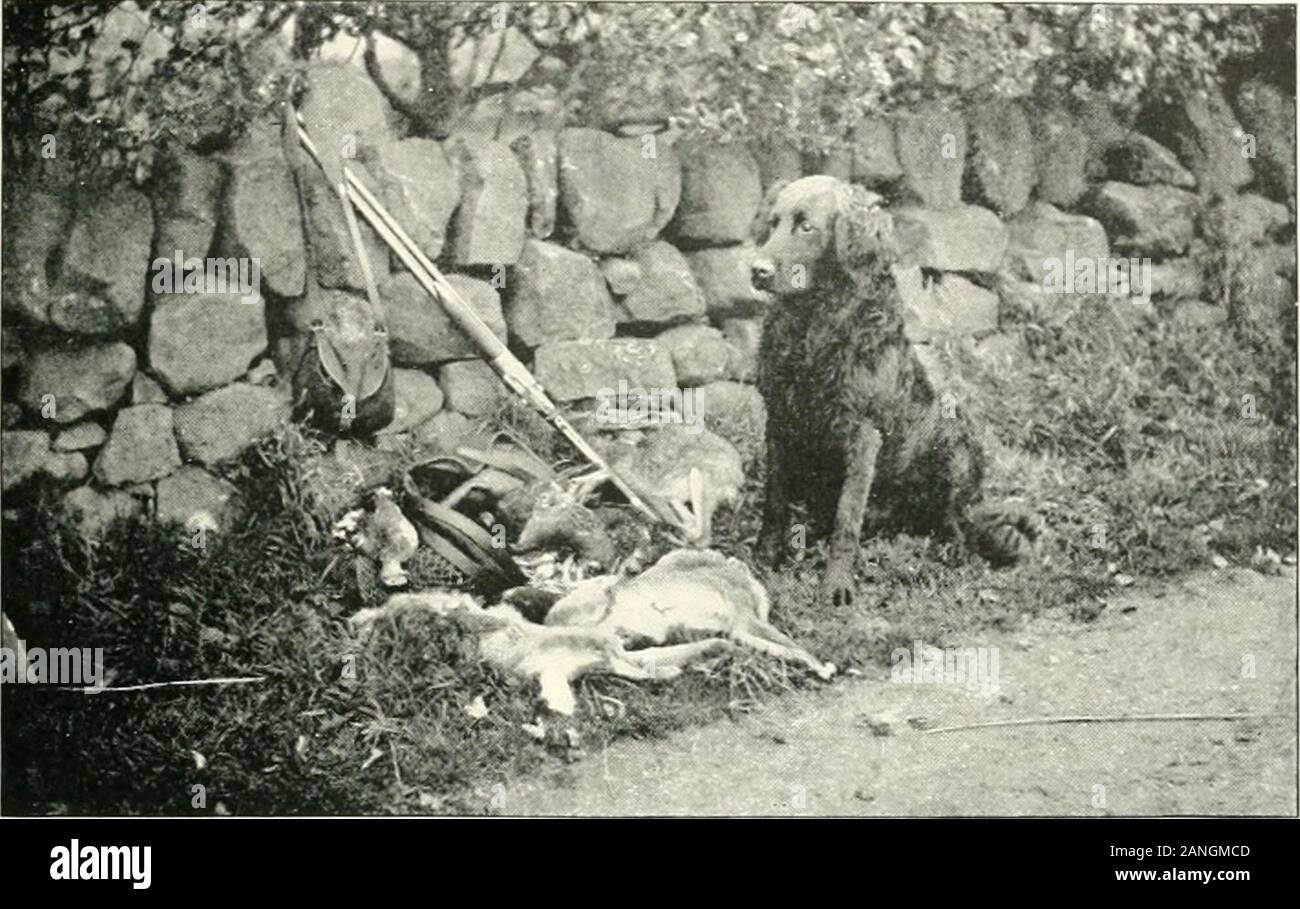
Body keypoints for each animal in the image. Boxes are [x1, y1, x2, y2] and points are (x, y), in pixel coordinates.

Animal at [754, 175, 1034, 603]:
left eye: (807, 227)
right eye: (772, 224)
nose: (757, 271)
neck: (814, 324)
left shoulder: (862, 432)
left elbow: (847, 517)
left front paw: (836, 584)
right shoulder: (779, 420)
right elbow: (775, 502)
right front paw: (764, 559)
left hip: (956, 443)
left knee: (958, 523)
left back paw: (952, 551)